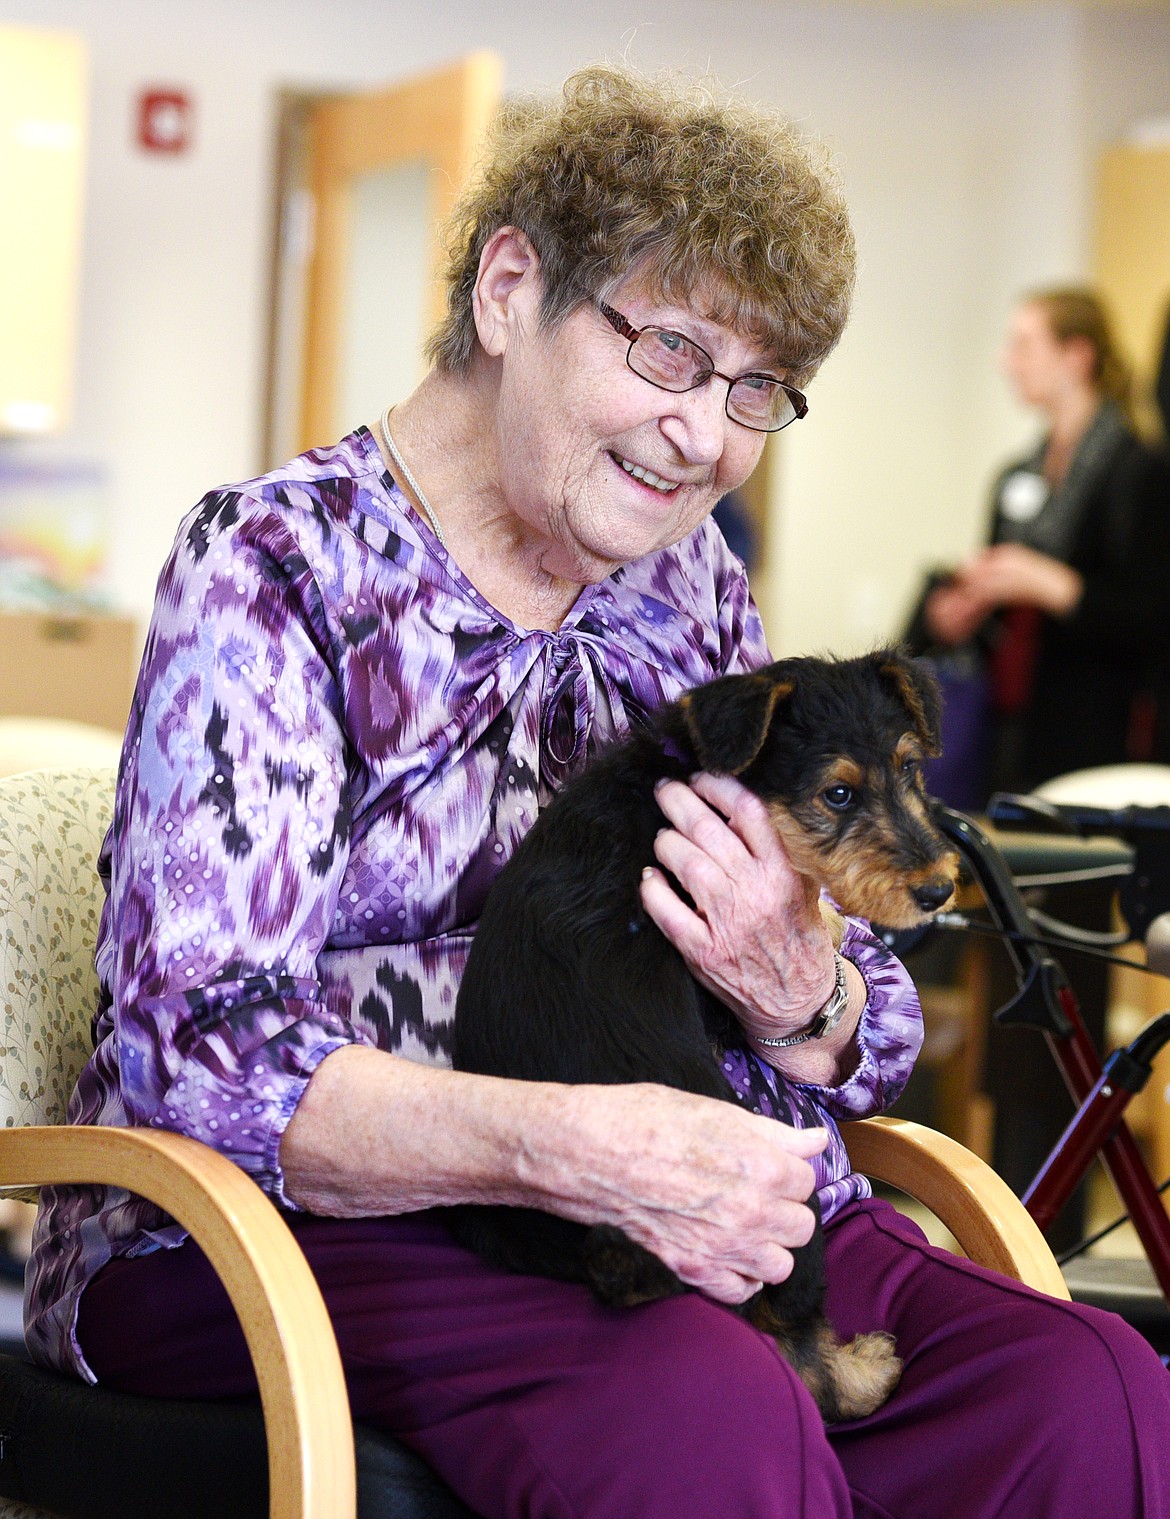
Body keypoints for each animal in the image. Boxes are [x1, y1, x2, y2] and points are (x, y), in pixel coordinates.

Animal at [449, 647, 954, 1415]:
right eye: (838, 794)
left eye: (910, 770)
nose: (937, 890)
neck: (686, 771)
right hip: (786, 1204)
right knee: (802, 1354)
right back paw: (866, 1369)